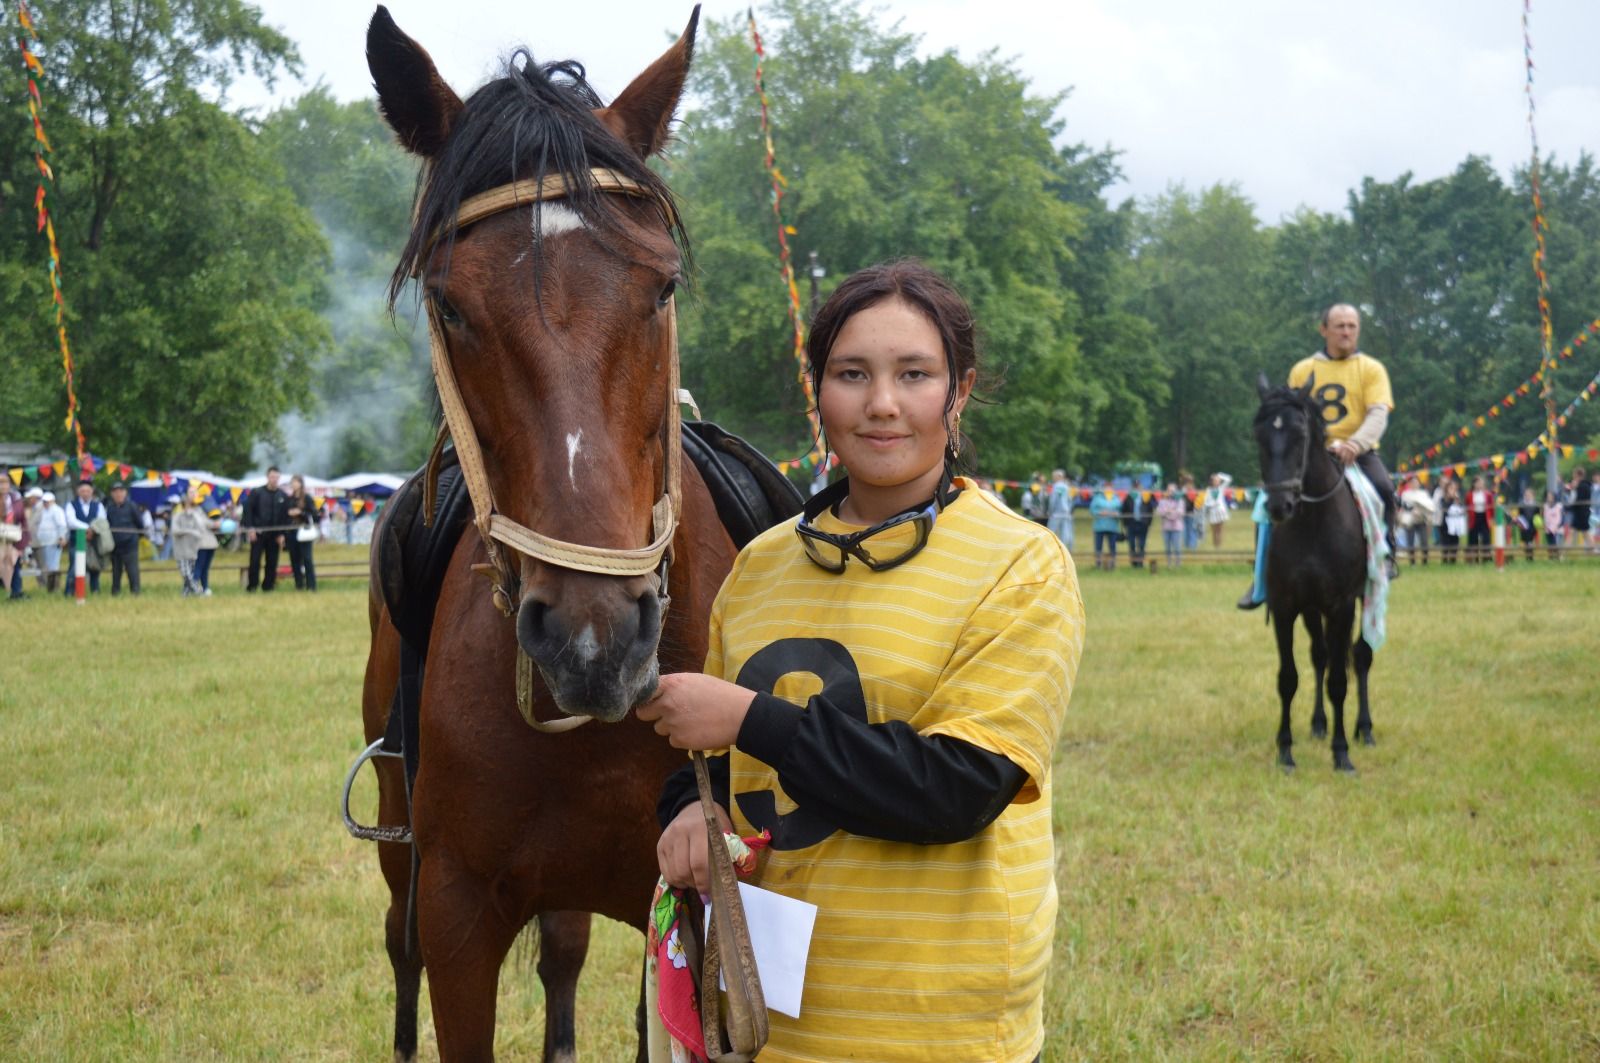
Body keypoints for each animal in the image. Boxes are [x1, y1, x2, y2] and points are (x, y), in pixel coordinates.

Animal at [1248, 376, 1376, 771]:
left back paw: (1364, 729)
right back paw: (1319, 724)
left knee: (1360, 657)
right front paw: (1285, 751)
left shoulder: (1341, 607)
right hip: (1310, 610)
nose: (1280, 505)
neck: (1313, 525)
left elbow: (1339, 680)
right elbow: (1288, 678)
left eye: (1300, 434)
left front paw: (1342, 753)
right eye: (1258, 434)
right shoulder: (1286, 606)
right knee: (1319, 656)